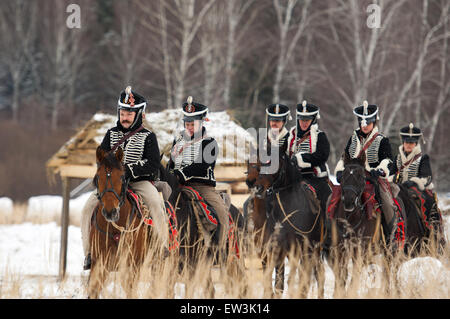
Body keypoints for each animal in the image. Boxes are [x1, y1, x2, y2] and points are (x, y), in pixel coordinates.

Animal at [88, 148, 162, 300]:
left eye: (122, 177)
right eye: (98, 177)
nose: (110, 212)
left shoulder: (132, 266)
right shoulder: (99, 263)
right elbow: (93, 291)